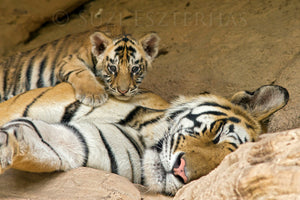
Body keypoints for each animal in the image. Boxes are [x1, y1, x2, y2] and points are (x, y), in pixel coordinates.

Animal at [0, 30, 159, 106]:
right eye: (113, 68)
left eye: (135, 69)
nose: (123, 91)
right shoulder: (69, 60)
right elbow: (81, 72)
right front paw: (94, 95)